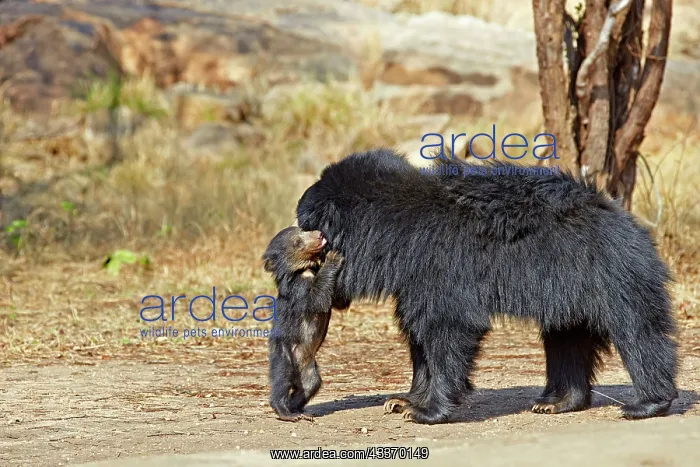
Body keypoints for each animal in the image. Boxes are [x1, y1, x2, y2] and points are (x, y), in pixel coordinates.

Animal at [263, 226, 347, 422]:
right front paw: (333, 257)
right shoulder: (298, 290)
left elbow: (338, 302)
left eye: (303, 229)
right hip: (285, 354)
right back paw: (286, 413)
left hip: (308, 369)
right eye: (297, 242)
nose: (320, 235)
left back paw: (302, 411)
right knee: (282, 379)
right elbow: (316, 299)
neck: (306, 269)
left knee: (310, 385)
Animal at [295, 148, 678, 425]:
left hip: (613, 274)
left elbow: (448, 326)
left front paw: (425, 412)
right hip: (567, 290)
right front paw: (401, 401)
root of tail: (622, 216)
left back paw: (646, 404)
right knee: (566, 338)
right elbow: (419, 335)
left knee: (637, 331)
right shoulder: (412, 280)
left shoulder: (439, 266)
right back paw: (555, 403)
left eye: (307, 227)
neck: (391, 232)